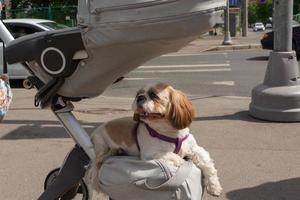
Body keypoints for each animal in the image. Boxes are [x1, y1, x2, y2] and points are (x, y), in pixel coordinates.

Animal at [87, 82, 223, 198]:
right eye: (138, 94)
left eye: (153, 95)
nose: (139, 97)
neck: (171, 134)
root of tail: (96, 130)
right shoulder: (150, 153)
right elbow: (173, 156)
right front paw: (181, 161)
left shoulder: (194, 148)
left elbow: (207, 164)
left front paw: (214, 186)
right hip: (101, 145)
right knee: (97, 162)